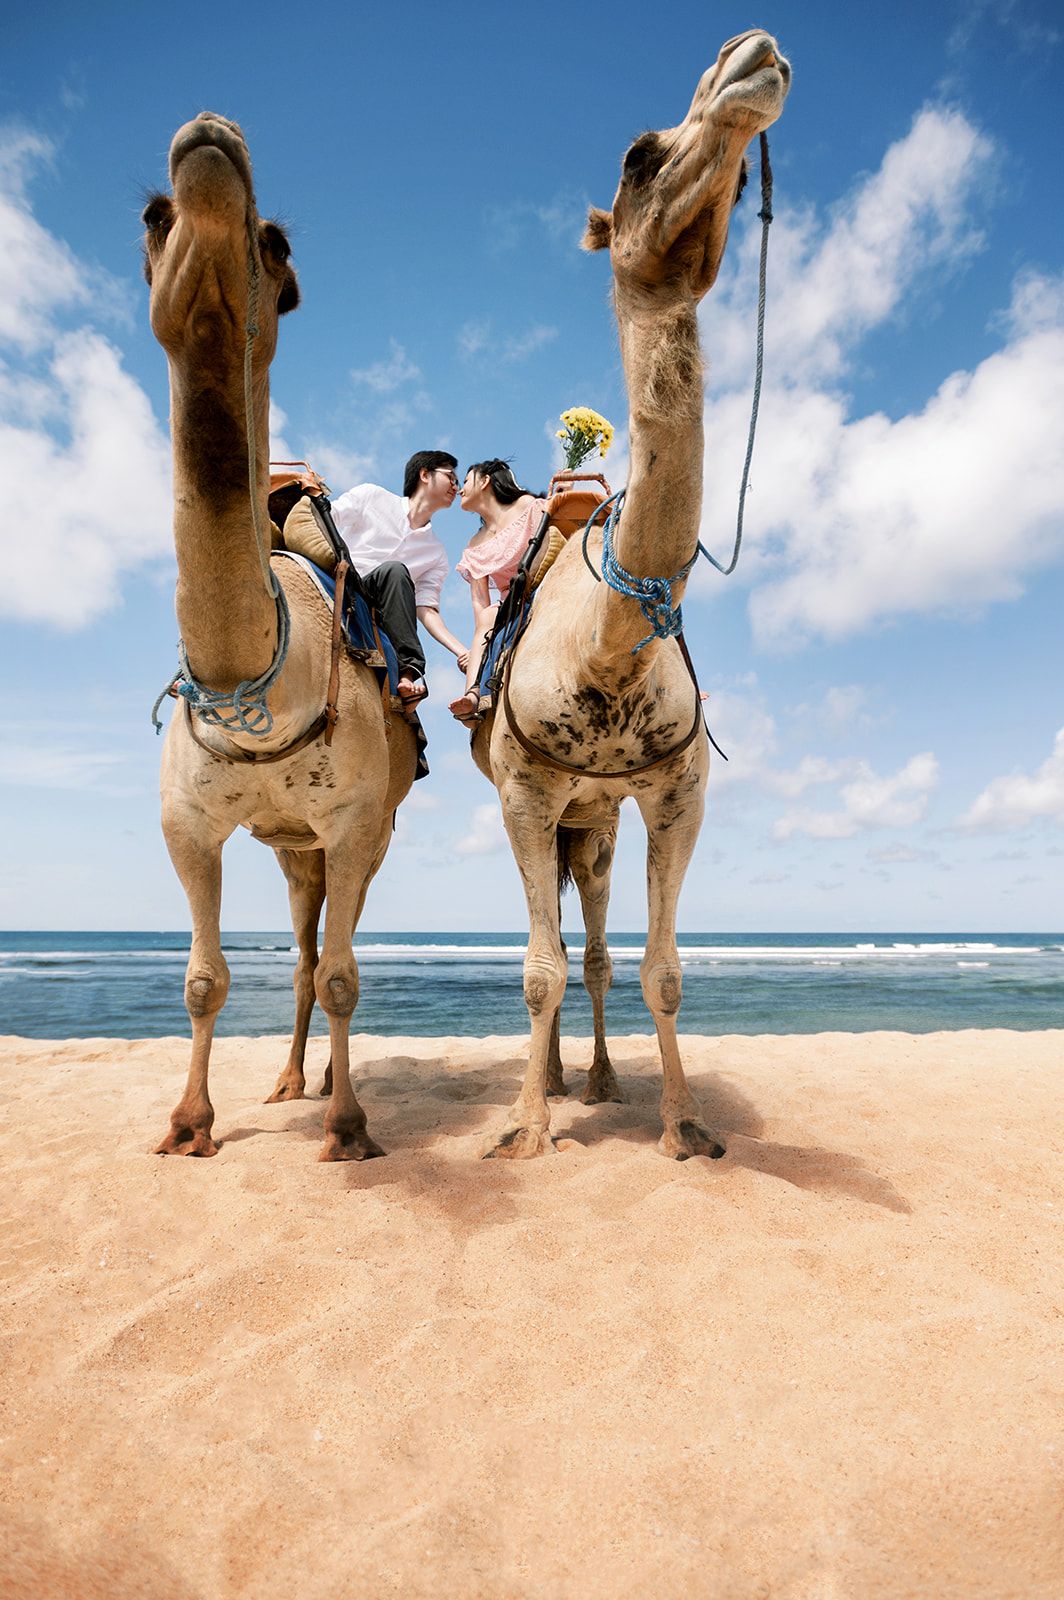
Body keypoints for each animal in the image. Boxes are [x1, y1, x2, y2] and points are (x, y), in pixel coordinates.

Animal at [143, 113, 419, 1161]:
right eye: (152, 218)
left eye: (280, 248)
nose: (209, 139)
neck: (255, 675)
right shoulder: (187, 824)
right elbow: (201, 979)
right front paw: (189, 1124)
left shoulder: (351, 824)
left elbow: (344, 974)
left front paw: (349, 1127)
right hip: (290, 850)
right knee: (300, 953)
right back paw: (291, 1079)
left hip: (354, 840)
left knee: (329, 956)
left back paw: (327, 1089)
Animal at [471, 30, 791, 1159]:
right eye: (637, 155)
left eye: (741, 182)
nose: (751, 53)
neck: (606, 640)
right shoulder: (524, 791)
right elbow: (534, 969)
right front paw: (525, 1127)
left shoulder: (676, 791)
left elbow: (661, 969)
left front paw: (685, 1124)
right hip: (560, 811)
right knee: (561, 948)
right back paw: (558, 1085)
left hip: (598, 821)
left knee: (601, 947)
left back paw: (600, 1080)